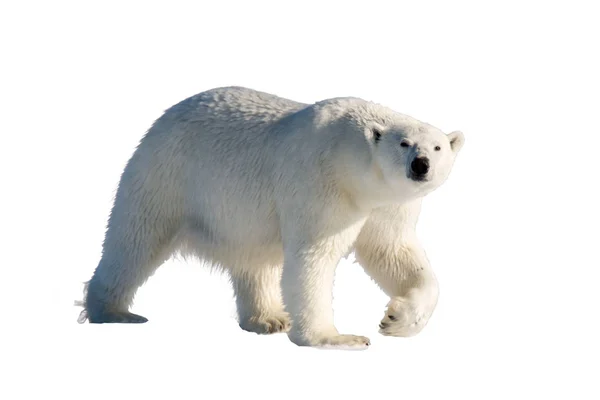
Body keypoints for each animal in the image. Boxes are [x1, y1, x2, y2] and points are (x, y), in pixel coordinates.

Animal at [77, 86, 466, 348]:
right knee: (135, 240)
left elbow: (393, 253)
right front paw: (335, 338)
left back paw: (268, 318)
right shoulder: (320, 184)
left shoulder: (387, 205)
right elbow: (312, 258)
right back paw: (113, 312)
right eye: (404, 143)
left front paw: (396, 319)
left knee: (256, 261)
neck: (350, 161)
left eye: (437, 147)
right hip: (167, 175)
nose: (421, 165)